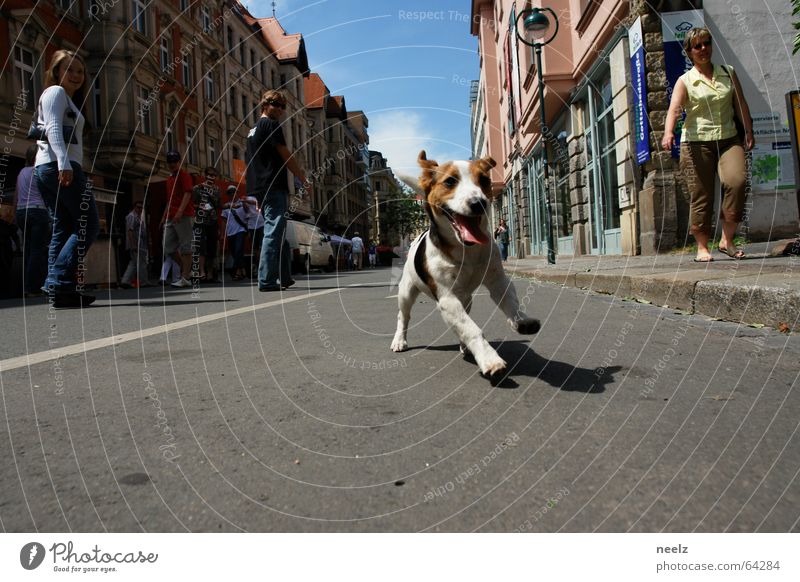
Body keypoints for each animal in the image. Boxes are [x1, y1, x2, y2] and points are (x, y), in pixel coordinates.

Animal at [390, 151, 540, 380]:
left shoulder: (498, 281)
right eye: (450, 181)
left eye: (485, 180)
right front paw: (489, 358)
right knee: (403, 316)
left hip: (467, 299)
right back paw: (399, 340)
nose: (479, 203)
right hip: (407, 293)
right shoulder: (447, 298)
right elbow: (472, 329)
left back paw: (464, 346)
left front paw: (522, 321)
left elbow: (511, 304)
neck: (466, 250)